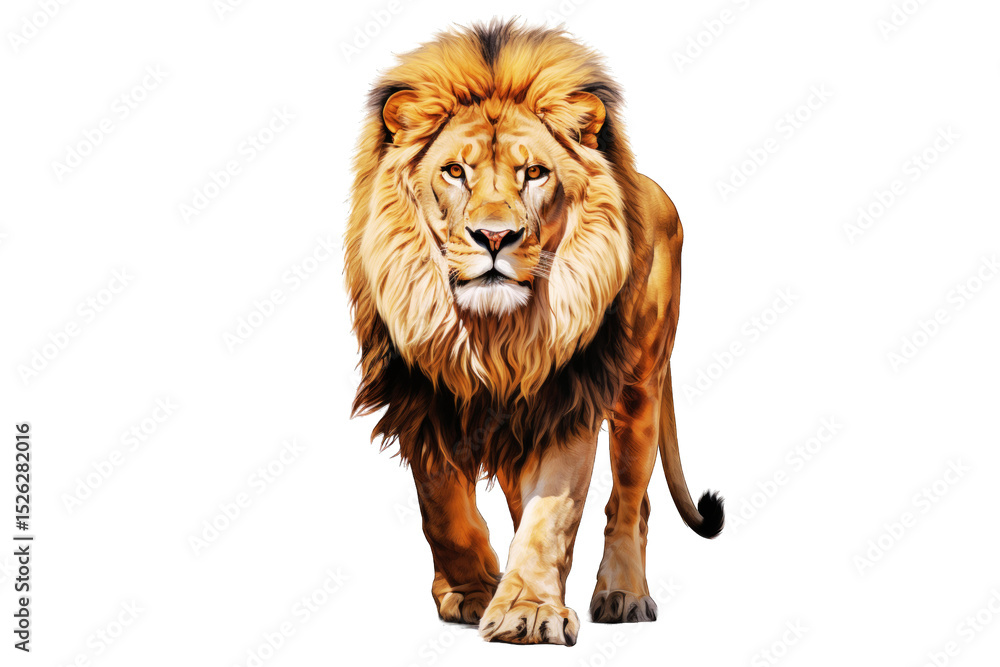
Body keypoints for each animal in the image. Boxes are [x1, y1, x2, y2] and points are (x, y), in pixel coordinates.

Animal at [345, 20, 723, 646]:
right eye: (455, 171)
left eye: (535, 173)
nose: (495, 237)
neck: (494, 335)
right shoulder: (425, 396)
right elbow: (442, 509)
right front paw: (474, 591)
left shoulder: (569, 395)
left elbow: (553, 512)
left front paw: (527, 608)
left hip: (641, 387)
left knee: (630, 501)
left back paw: (623, 593)